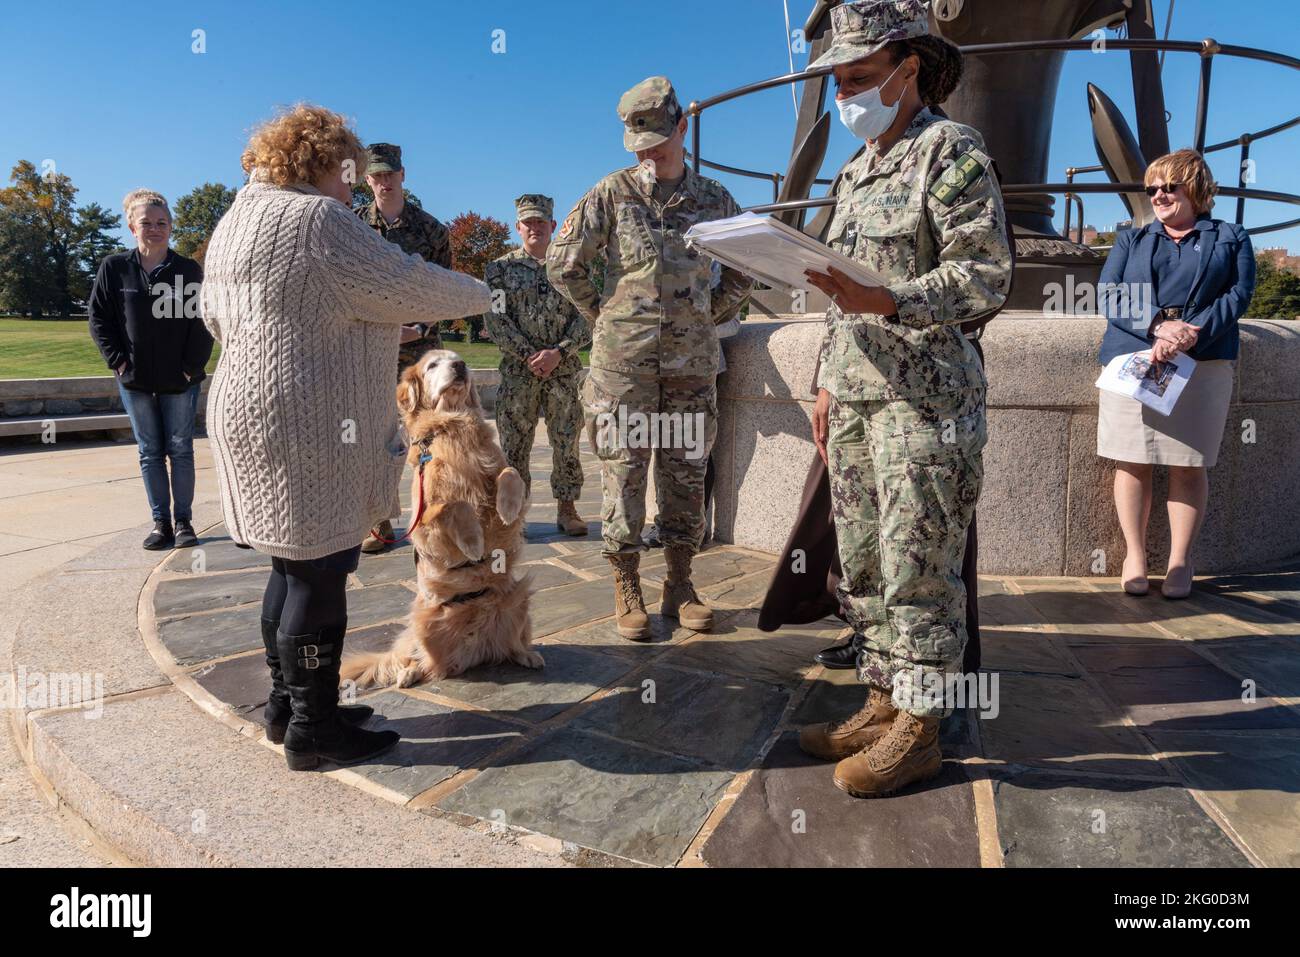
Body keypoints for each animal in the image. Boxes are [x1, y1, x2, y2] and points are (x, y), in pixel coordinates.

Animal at [343, 351, 540, 686]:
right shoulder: (424, 522)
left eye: (458, 360)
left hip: (518, 599)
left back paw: (526, 655)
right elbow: (453, 506)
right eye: (432, 365)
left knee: (510, 644)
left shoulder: (499, 475)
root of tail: (473, 652)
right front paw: (473, 543)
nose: (460, 366)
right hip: (422, 621)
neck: (452, 425)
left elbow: (510, 472)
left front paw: (508, 506)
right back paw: (410, 672)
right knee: (424, 661)